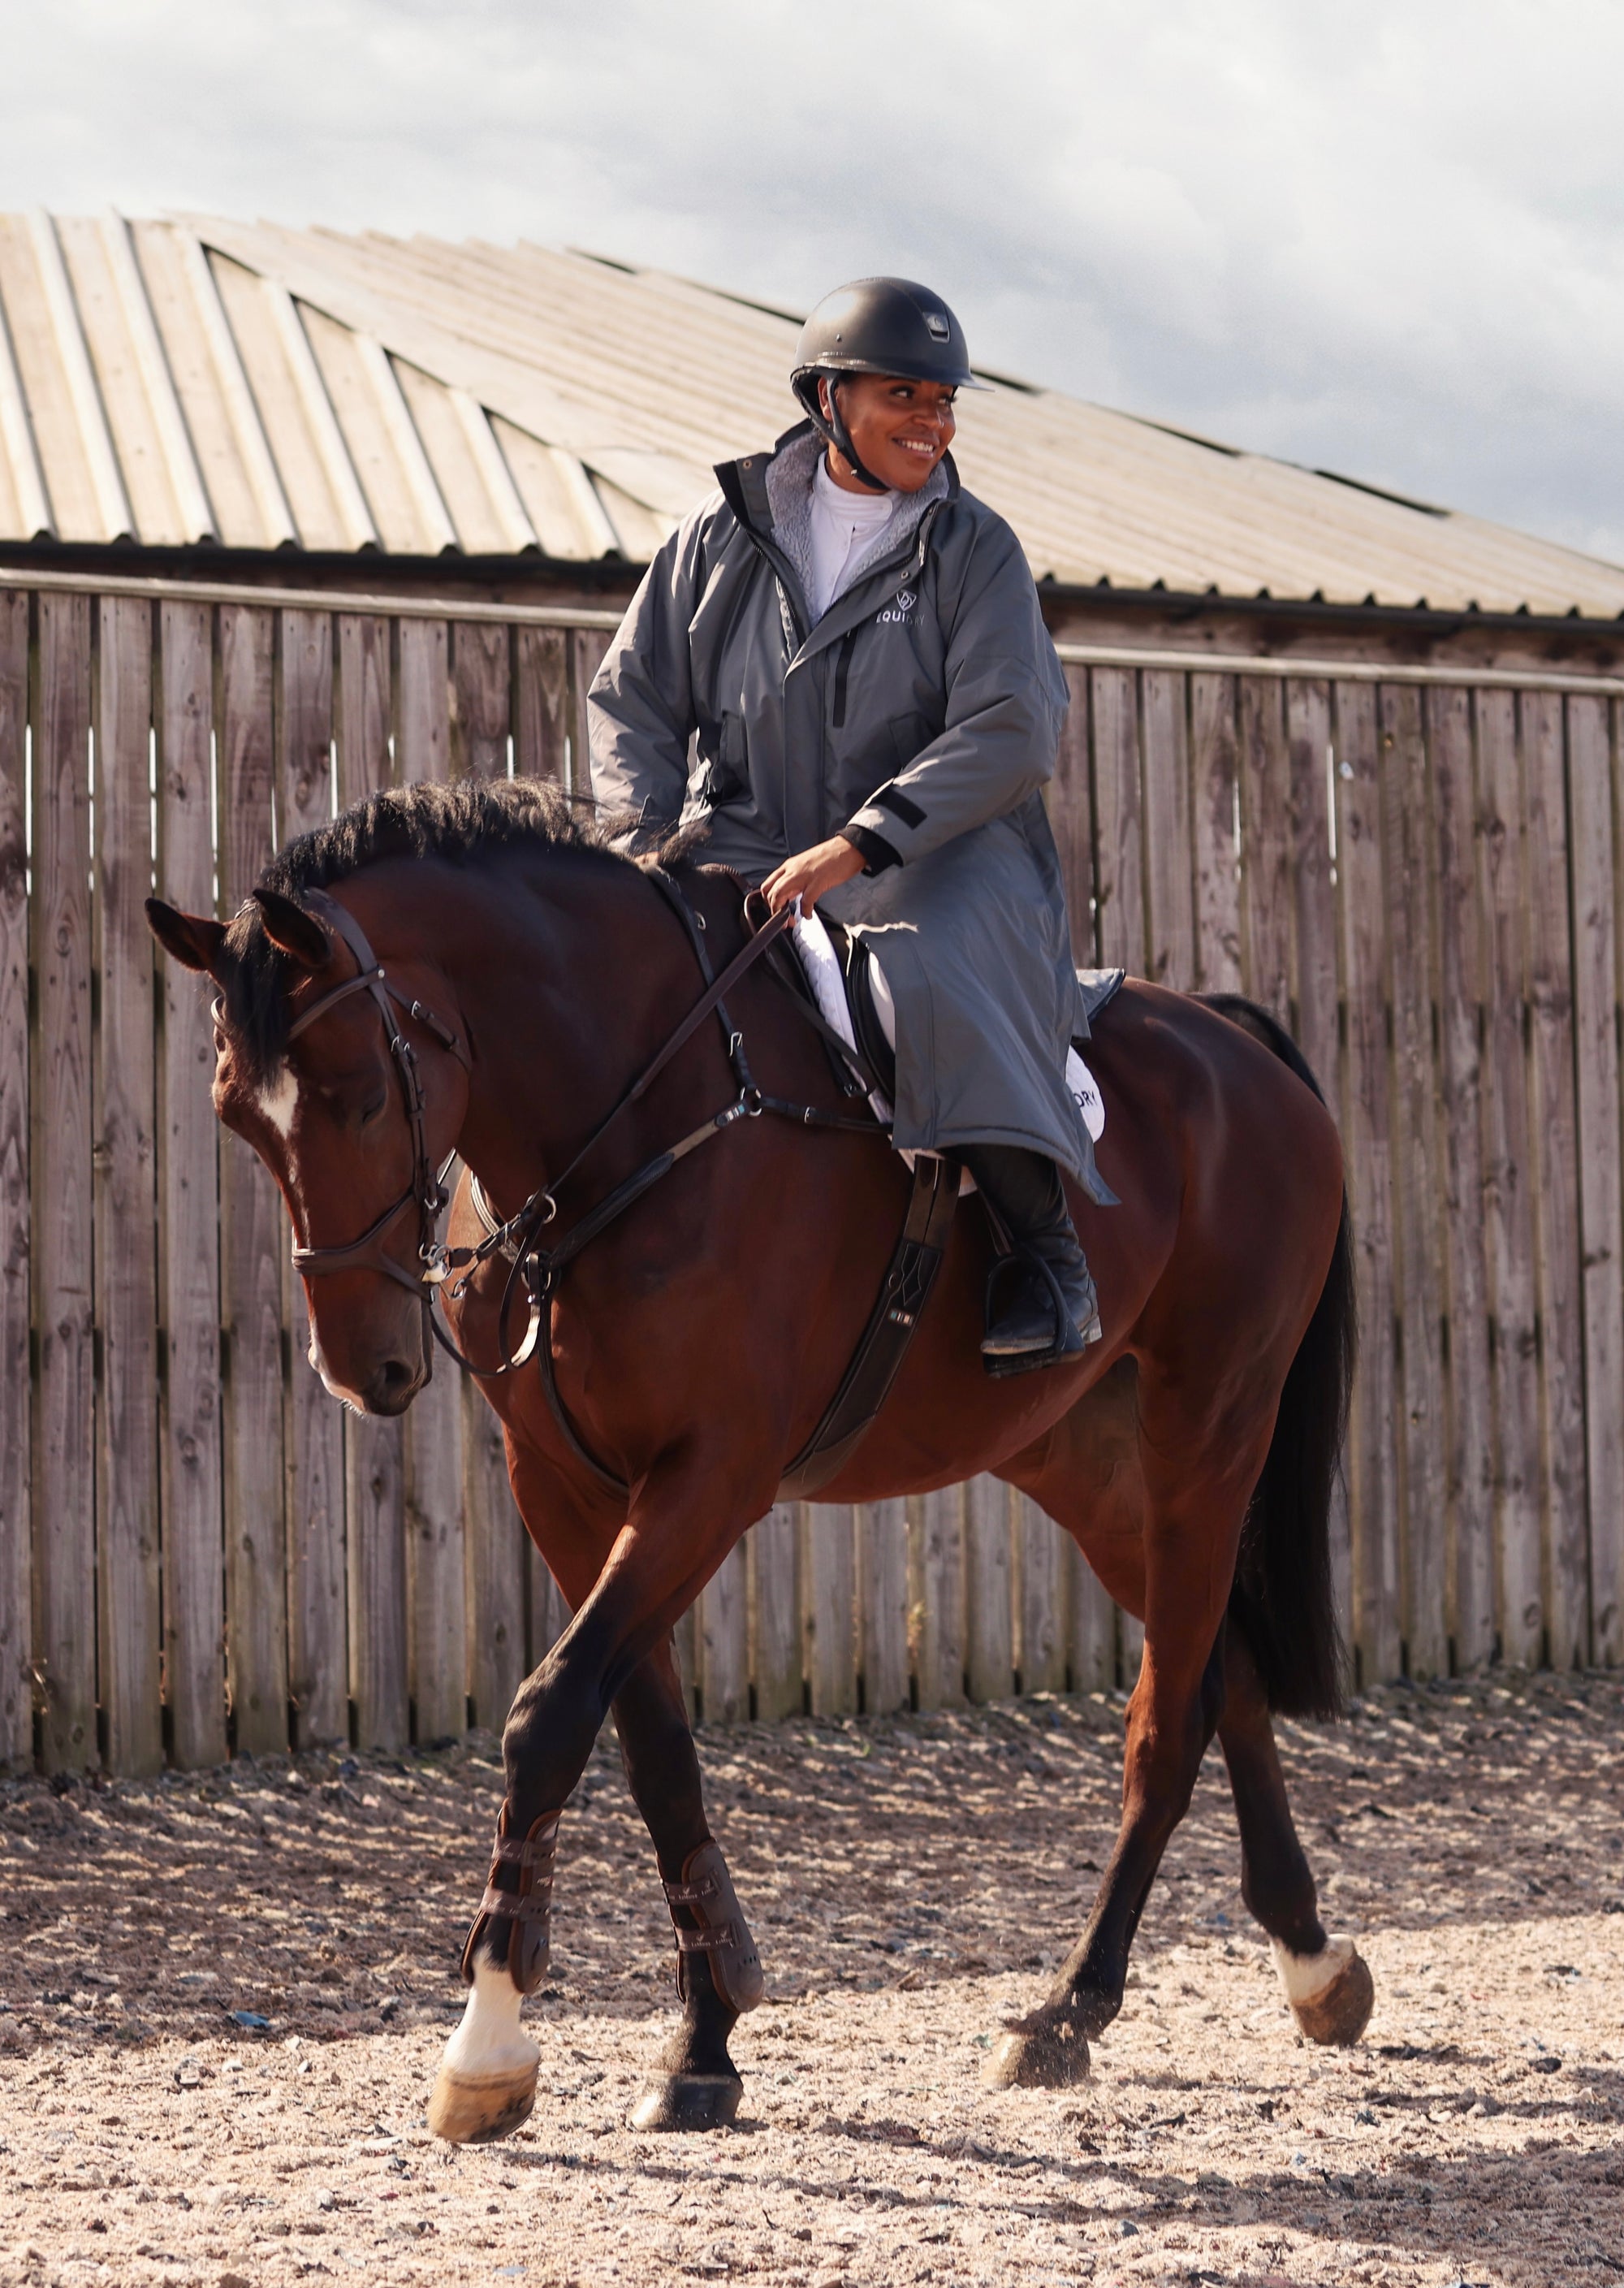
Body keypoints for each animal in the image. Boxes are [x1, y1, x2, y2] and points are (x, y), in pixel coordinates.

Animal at [149, 782, 1372, 2141]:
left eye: (363, 1093)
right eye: (237, 1117)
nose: (362, 1367)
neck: (633, 1117)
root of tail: (1227, 1042)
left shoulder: (711, 1479)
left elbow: (547, 1717)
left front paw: (491, 2037)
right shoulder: (567, 1490)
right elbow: (652, 1746)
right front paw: (707, 2030)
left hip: (1208, 1431)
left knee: (1167, 1714)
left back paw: (1072, 2006)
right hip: (1095, 1467)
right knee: (1222, 1675)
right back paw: (1311, 1960)